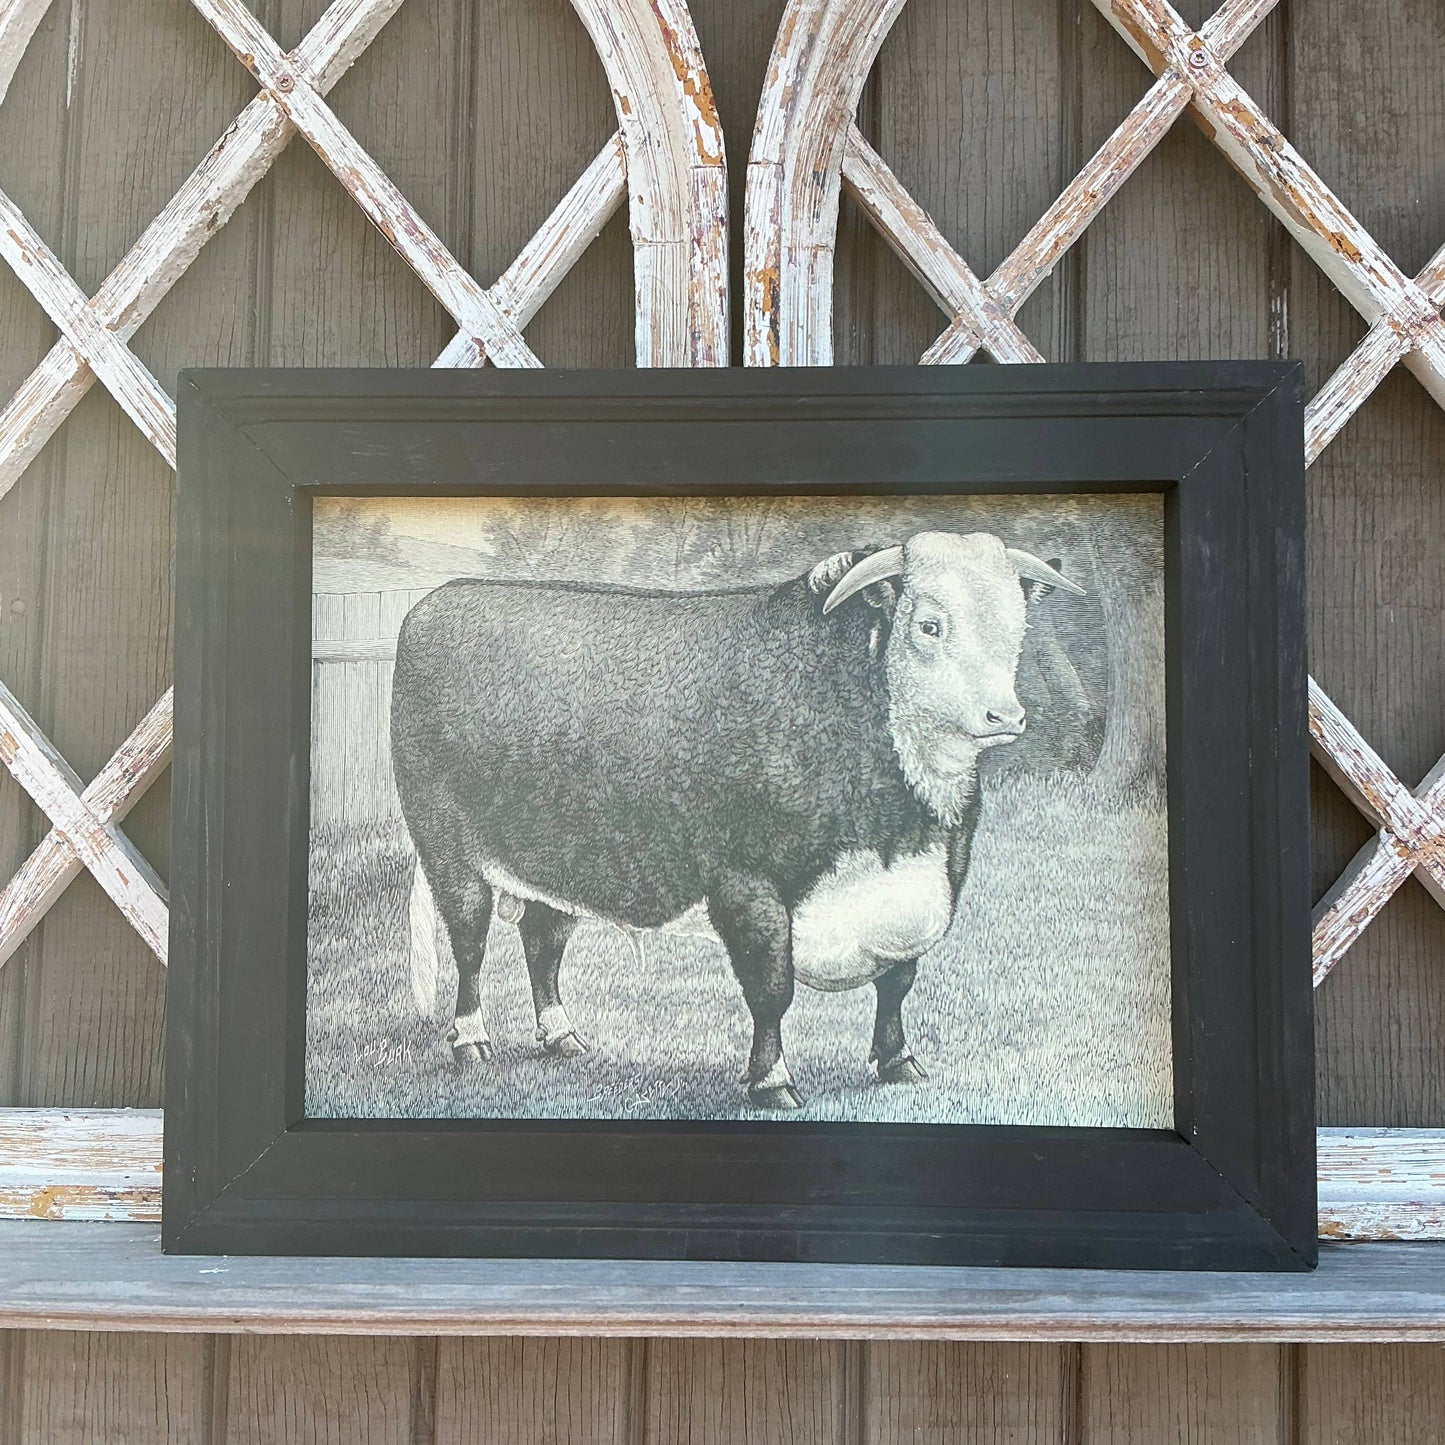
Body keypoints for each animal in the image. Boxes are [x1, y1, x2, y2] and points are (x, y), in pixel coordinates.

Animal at [390, 530, 1085, 1110]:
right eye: (930, 625)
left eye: (1017, 626)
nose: (1004, 715)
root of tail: (444, 597)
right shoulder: (748, 885)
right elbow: (771, 989)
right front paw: (771, 1082)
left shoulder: (924, 888)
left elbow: (898, 981)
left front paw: (897, 1063)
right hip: (448, 848)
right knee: (471, 945)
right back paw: (470, 1042)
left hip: (557, 856)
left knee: (543, 941)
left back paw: (562, 1037)